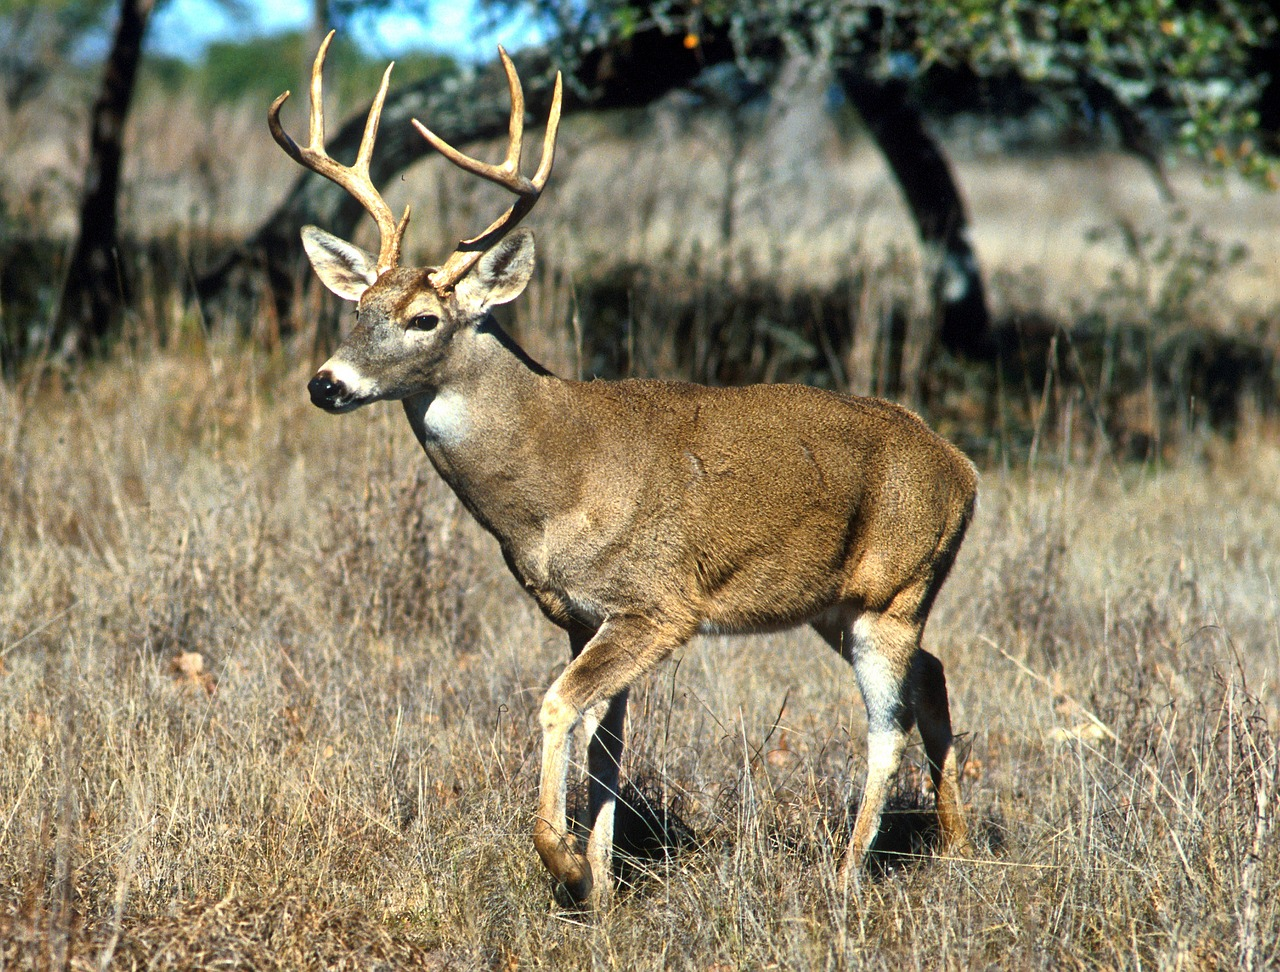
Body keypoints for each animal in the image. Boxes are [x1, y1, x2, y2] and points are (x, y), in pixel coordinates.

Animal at [271, 32, 978, 910]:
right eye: (357, 308)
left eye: (424, 318)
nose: (326, 384)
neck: (555, 483)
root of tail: (963, 469)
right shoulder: (583, 614)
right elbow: (606, 743)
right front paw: (604, 885)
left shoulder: (658, 604)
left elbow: (557, 707)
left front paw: (566, 863)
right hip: (839, 603)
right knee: (935, 677)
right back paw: (957, 849)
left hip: (894, 589)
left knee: (889, 725)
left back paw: (846, 877)